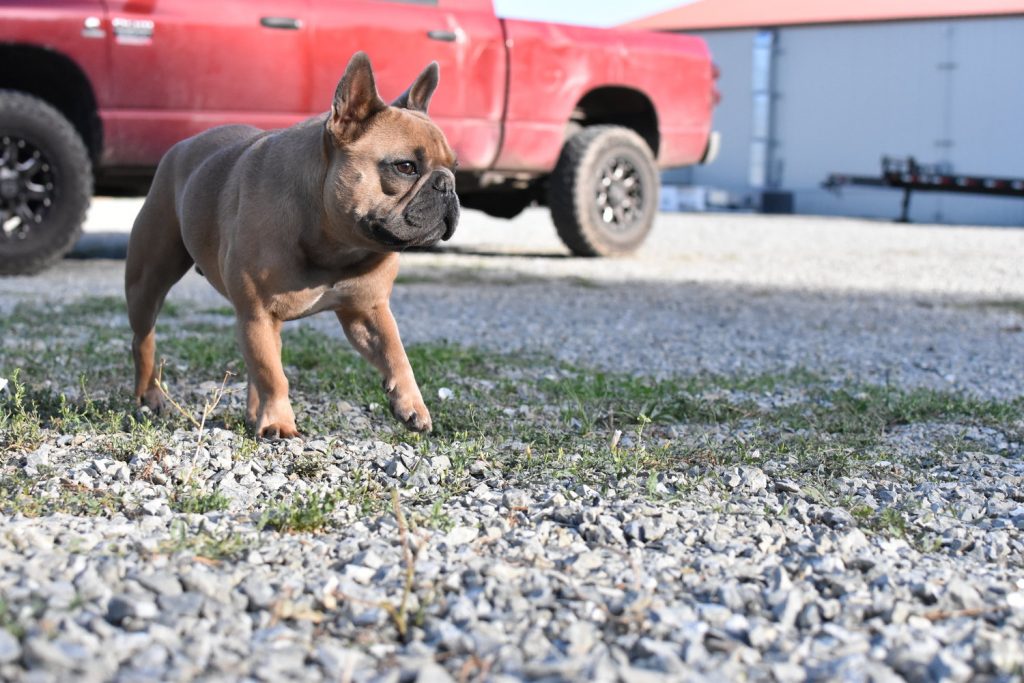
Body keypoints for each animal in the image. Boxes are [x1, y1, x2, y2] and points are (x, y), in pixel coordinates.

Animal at [121, 52, 458, 438]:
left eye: (455, 166)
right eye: (405, 167)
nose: (447, 185)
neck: (334, 240)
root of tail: (182, 145)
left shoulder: (368, 310)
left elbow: (396, 354)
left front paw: (412, 405)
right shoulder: (258, 313)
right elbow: (273, 375)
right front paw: (280, 422)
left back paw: (253, 414)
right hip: (149, 279)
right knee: (144, 337)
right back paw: (149, 396)